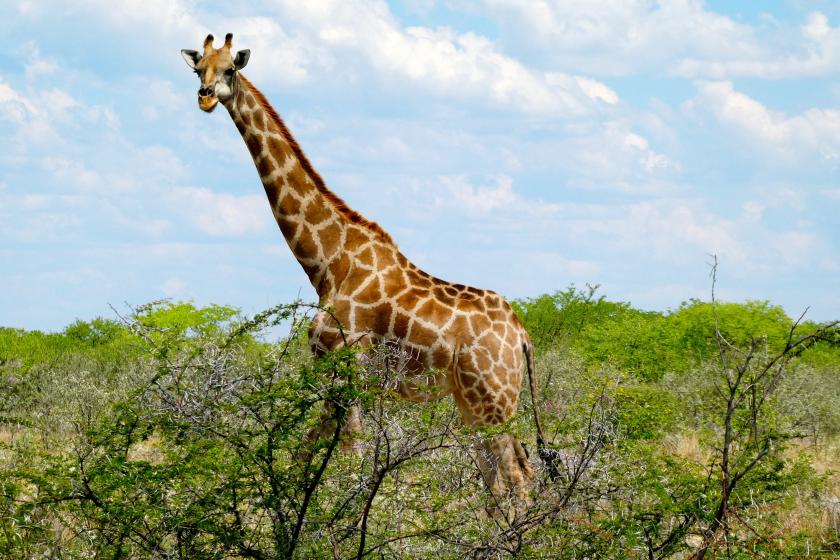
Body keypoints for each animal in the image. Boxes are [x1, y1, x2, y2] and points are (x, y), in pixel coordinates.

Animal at [183, 32, 548, 508]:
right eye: (198, 69)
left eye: (230, 69)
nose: (206, 97)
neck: (327, 262)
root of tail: (521, 335)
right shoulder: (333, 376)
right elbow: (302, 457)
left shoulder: (347, 367)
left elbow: (350, 466)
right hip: (475, 401)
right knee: (503, 478)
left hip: (492, 399)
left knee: (517, 478)